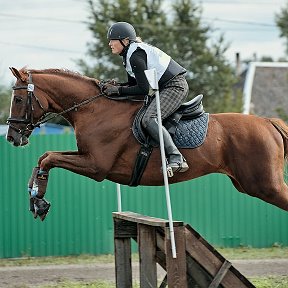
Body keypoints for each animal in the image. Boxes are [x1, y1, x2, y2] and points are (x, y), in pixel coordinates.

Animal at [5, 67, 288, 216]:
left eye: (18, 100)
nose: (11, 137)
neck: (93, 109)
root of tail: (268, 122)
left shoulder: (96, 166)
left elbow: (50, 158)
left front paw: (39, 199)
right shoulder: (86, 156)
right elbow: (45, 157)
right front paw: (36, 197)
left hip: (264, 185)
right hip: (248, 183)